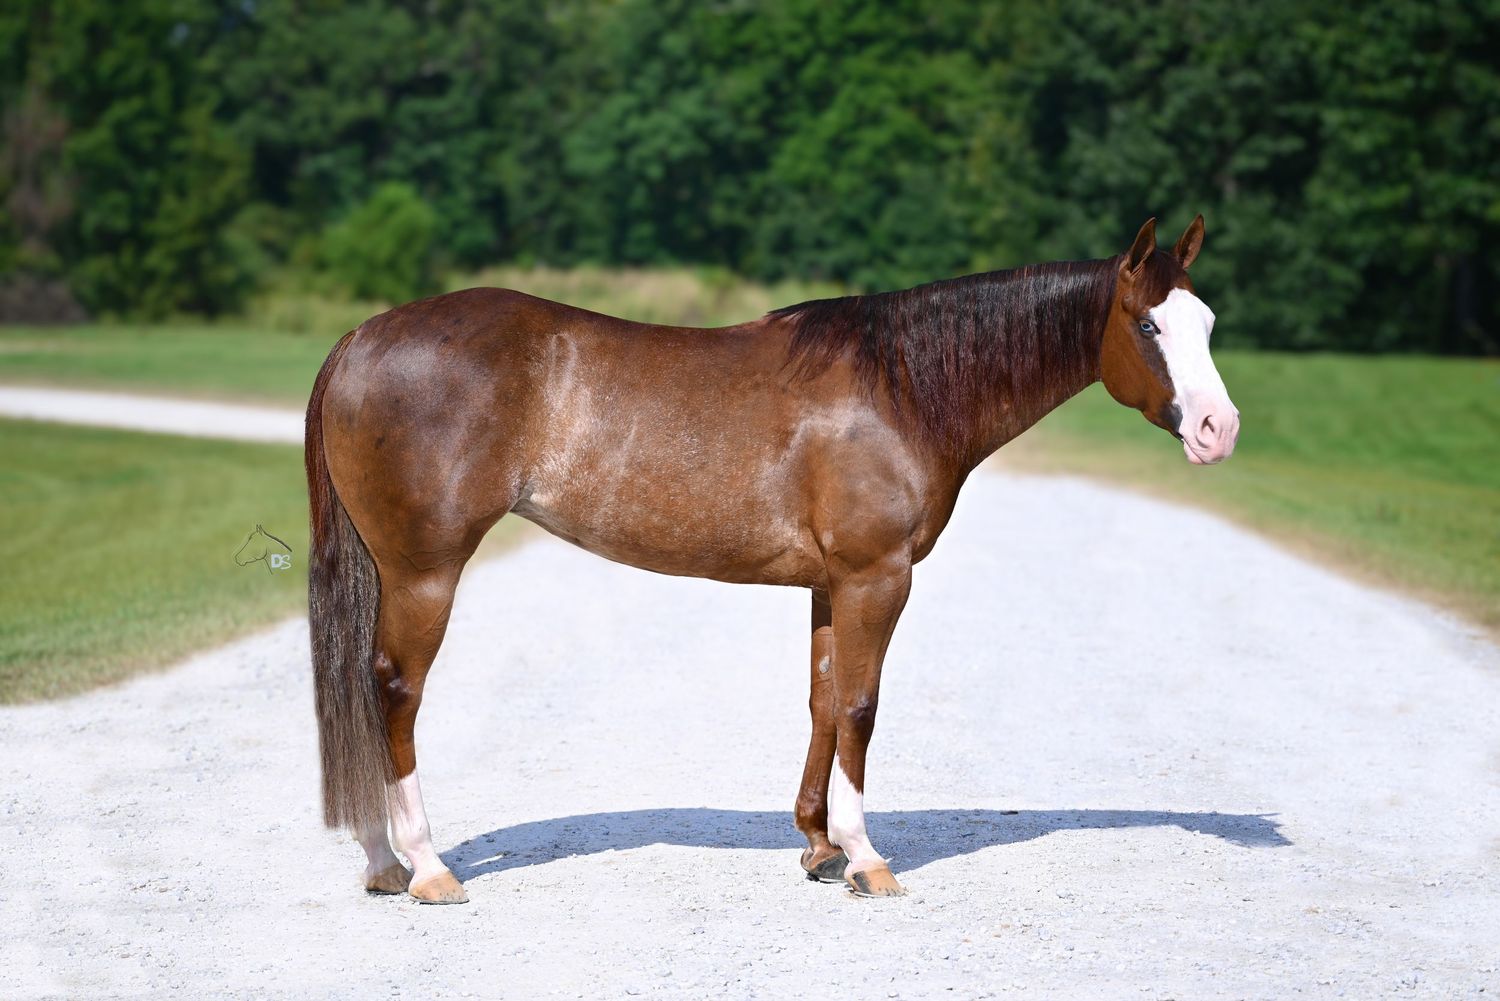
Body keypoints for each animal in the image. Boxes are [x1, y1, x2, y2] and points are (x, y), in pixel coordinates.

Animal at [305, 215, 1239, 904]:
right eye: (1147, 324)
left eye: (1207, 323)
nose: (1218, 429)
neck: (904, 387)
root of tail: (359, 336)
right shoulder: (877, 576)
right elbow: (861, 704)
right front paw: (865, 857)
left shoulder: (831, 584)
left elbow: (824, 701)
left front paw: (819, 846)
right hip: (424, 570)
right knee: (395, 688)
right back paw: (426, 866)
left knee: (360, 684)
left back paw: (381, 861)